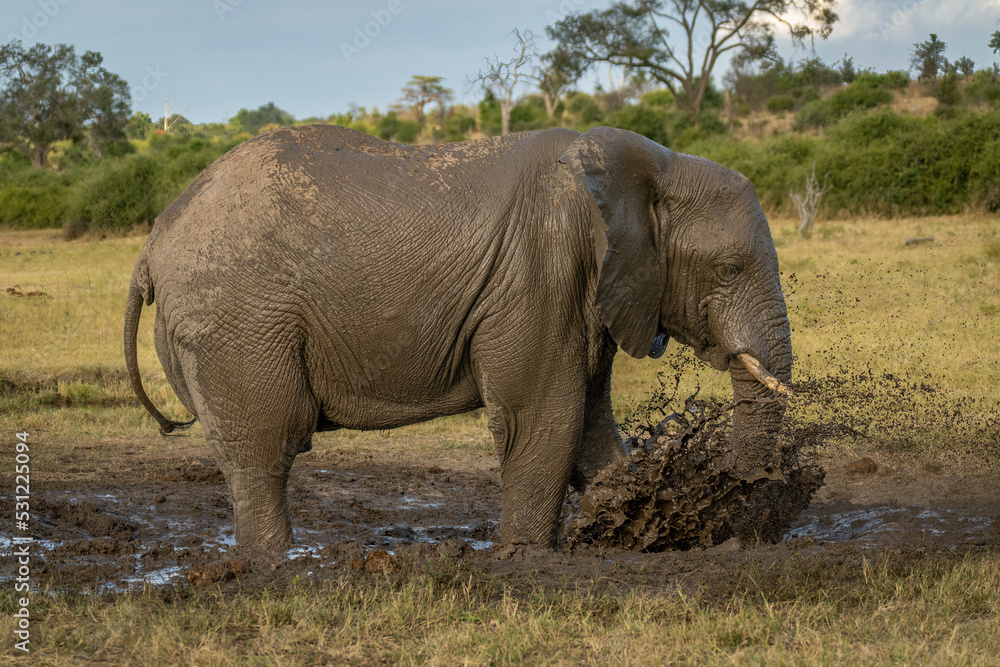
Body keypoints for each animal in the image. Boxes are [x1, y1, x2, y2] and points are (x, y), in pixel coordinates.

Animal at [124, 125, 793, 553]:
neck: (653, 165)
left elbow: (592, 430)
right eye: (729, 268)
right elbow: (543, 422)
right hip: (234, 323)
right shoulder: (540, 275)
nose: (739, 542)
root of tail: (153, 245)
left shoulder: (589, 292)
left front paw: (631, 525)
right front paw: (525, 557)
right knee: (267, 444)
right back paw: (277, 567)